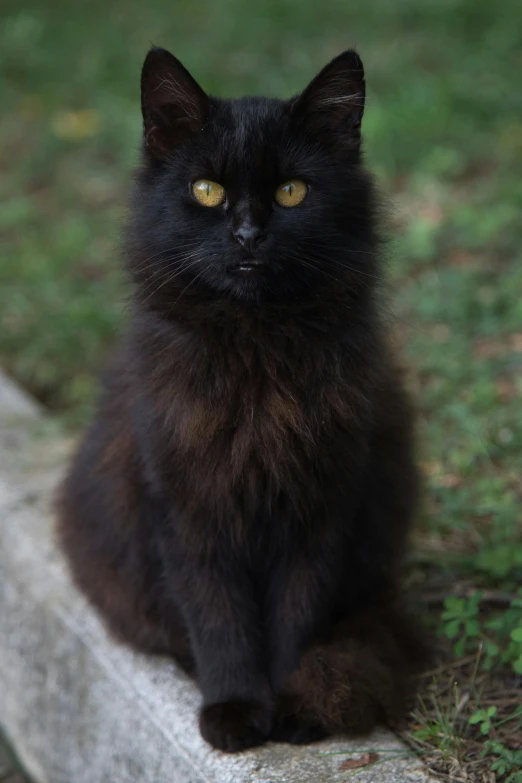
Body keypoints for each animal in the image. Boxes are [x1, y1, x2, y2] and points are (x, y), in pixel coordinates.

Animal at [57, 47, 424, 752]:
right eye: (207, 191)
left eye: (291, 192)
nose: (249, 235)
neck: (256, 358)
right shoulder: (187, 507)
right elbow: (220, 619)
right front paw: (233, 710)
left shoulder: (319, 507)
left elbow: (293, 621)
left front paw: (293, 707)